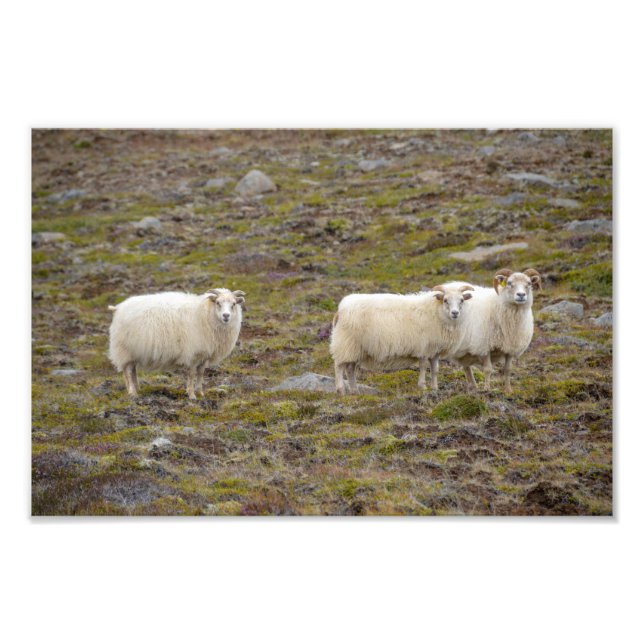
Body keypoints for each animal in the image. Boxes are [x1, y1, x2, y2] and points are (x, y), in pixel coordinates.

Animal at [108, 288, 245, 399]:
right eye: (218, 303)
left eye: (233, 304)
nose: (226, 316)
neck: (204, 313)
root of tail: (118, 308)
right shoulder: (192, 354)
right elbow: (191, 374)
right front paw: (191, 395)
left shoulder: (204, 355)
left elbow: (201, 374)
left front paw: (200, 393)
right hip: (124, 349)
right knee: (128, 371)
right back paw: (133, 392)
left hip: (133, 350)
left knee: (132, 370)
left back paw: (137, 389)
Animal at [329, 283, 474, 395]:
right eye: (445, 300)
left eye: (462, 300)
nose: (455, 313)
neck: (436, 311)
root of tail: (340, 309)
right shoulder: (423, 347)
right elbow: (423, 366)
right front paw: (423, 386)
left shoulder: (434, 350)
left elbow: (435, 369)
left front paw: (435, 388)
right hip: (345, 343)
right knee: (339, 366)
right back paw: (341, 390)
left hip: (354, 348)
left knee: (350, 368)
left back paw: (354, 391)